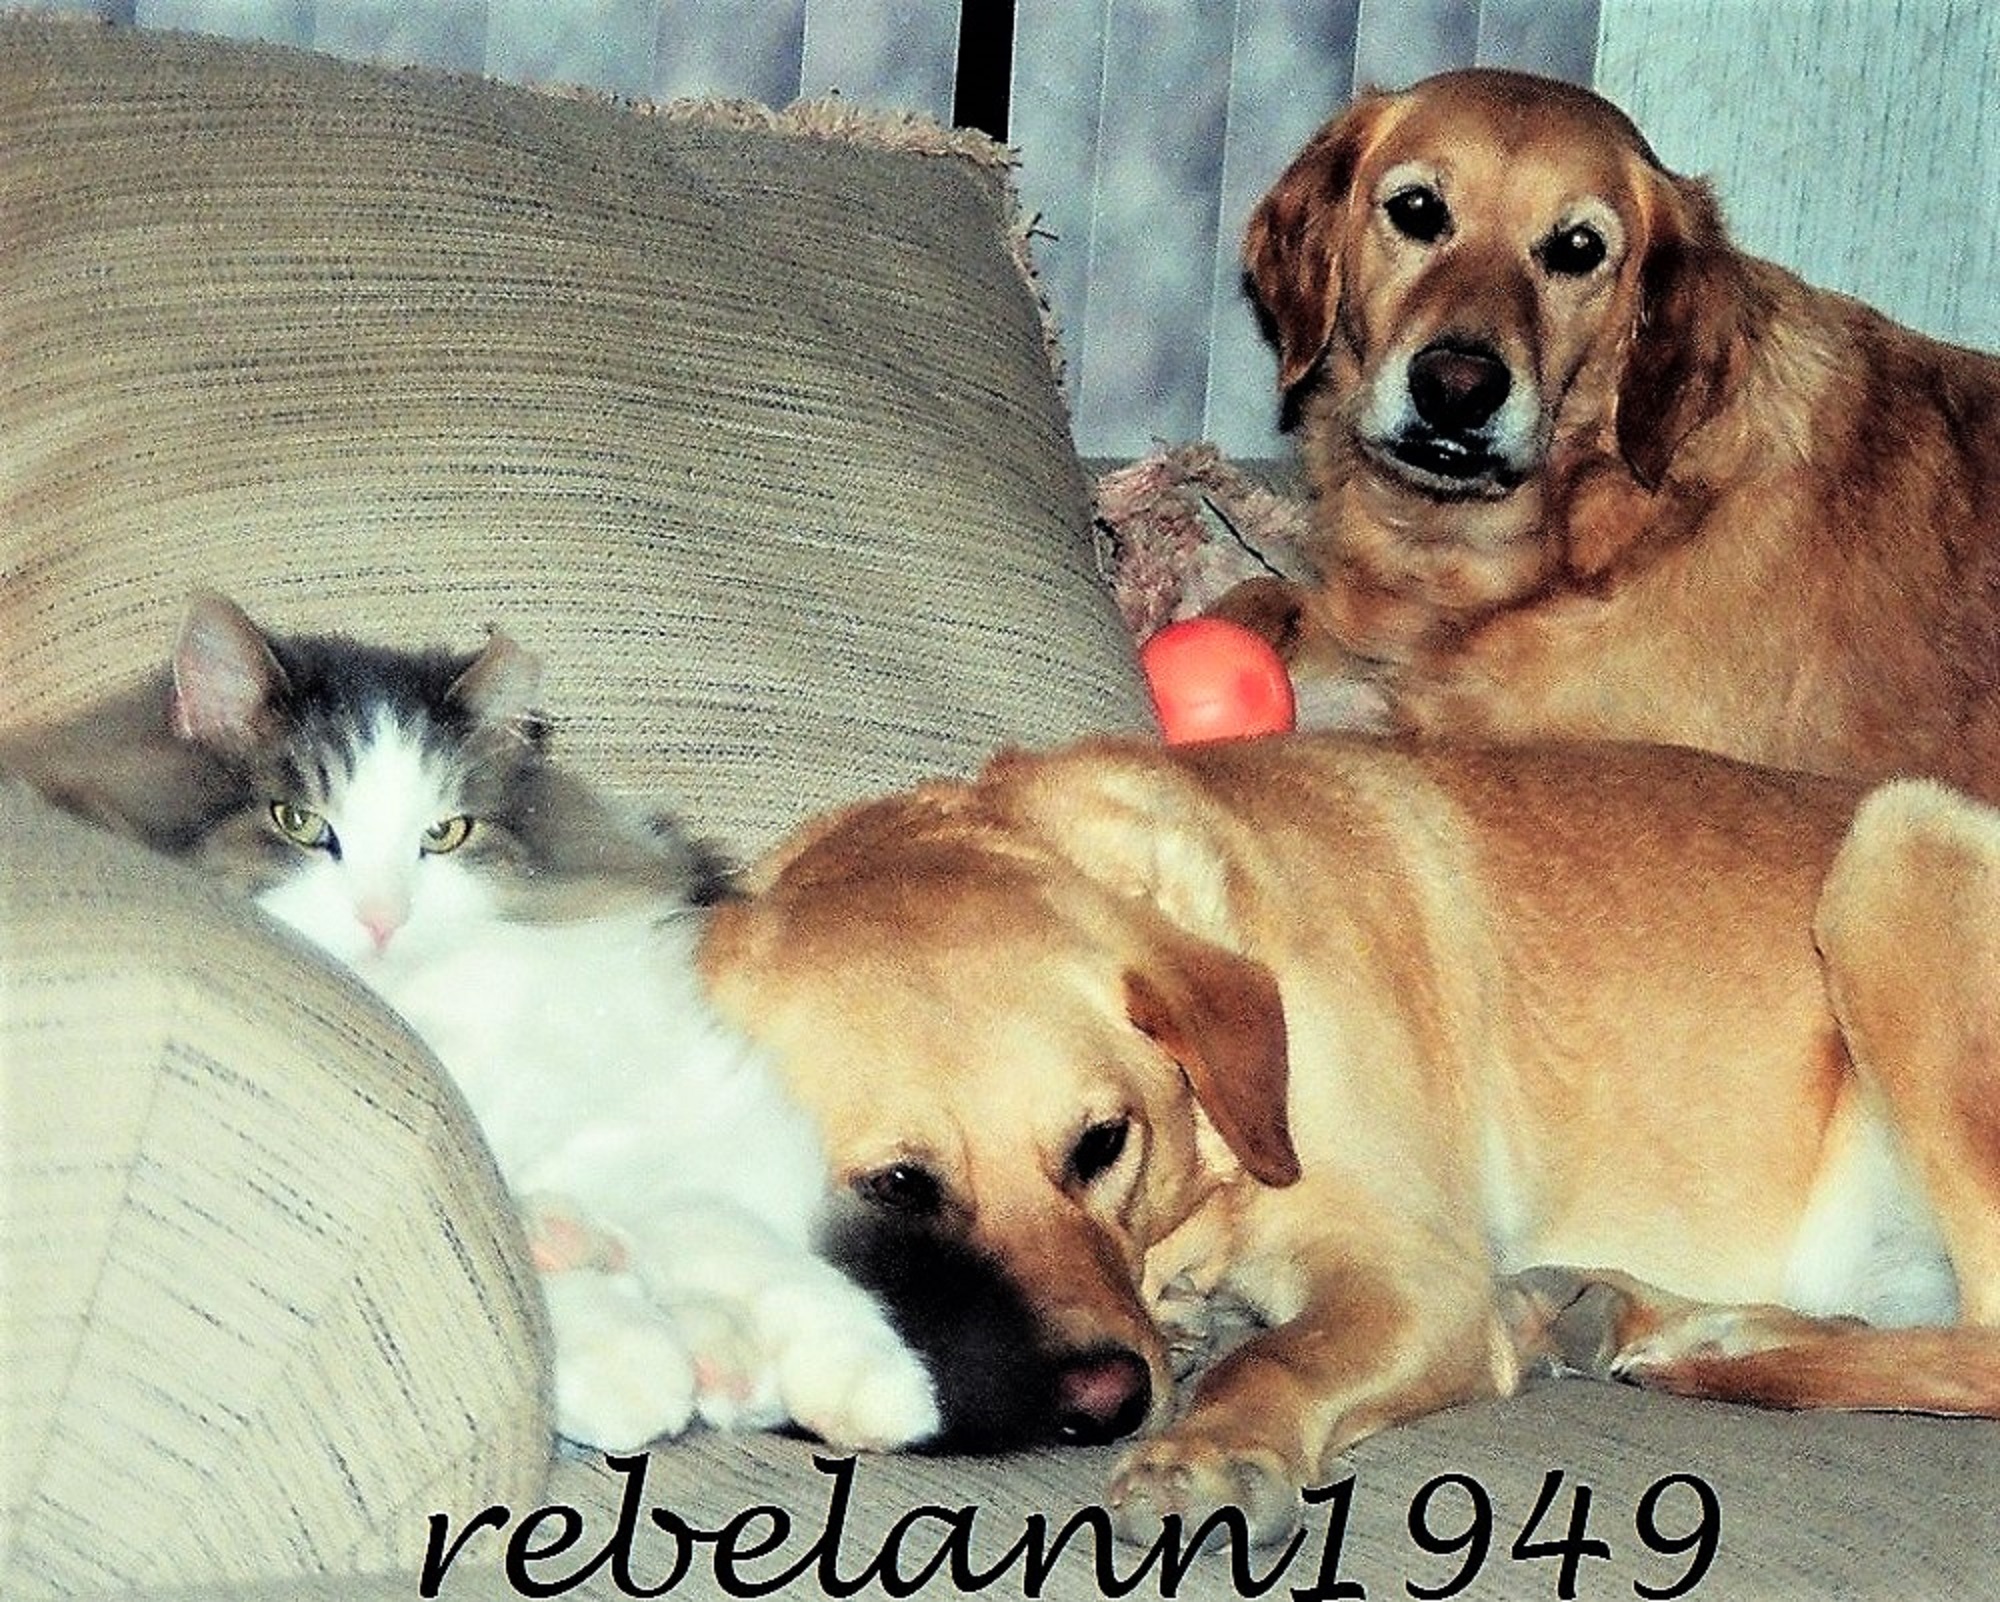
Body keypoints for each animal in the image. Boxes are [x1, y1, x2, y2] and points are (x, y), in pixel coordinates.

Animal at [23, 592, 948, 1456]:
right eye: (299, 823)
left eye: (446, 833)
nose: (383, 919)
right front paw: (630, 1364)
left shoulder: (642, 1141)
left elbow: (767, 1259)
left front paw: (881, 1388)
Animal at [692, 736, 2000, 1536]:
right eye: (896, 1185)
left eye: (1101, 1142)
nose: (1109, 1403)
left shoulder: (1417, 1277)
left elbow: (1273, 1357)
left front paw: (1207, 1447)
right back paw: (1644, 1315)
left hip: (1899, 848)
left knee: (1978, 1345)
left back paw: (1704, 1347)